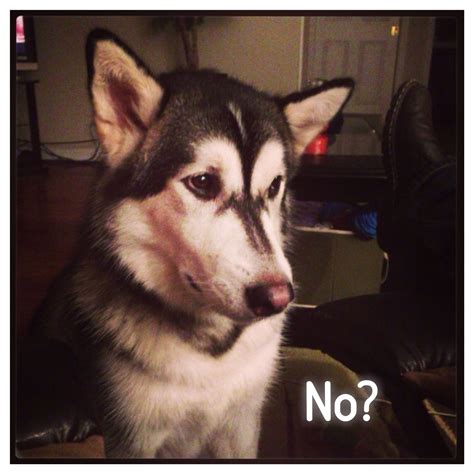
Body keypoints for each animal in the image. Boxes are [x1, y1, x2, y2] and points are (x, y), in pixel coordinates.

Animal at [35, 30, 354, 460]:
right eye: (202, 182)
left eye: (274, 186)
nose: (278, 298)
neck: (212, 356)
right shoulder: (131, 439)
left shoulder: (242, 425)